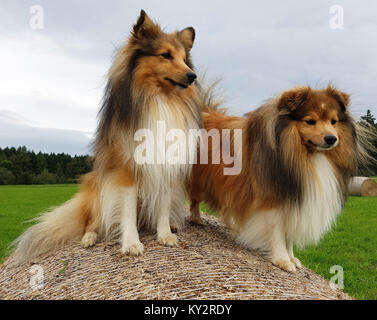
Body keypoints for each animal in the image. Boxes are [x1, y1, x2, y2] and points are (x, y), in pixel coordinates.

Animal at [11, 11, 201, 264]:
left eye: (184, 59)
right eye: (166, 55)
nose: (192, 76)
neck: (159, 99)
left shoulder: (166, 166)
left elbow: (162, 205)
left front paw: (165, 235)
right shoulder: (127, 169)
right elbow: (127, 211)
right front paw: (131, 243)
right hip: (98, 187)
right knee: (92, 220)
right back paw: (90, 237)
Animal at [189, 85, 366, 272]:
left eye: (334, 121)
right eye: (310, 121)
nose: (332, 138)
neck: (303, 154)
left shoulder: (293, 200)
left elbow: (288, 236)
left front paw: (292, 257)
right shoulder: (272, 201)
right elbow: (277, 232)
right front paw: (282, 260)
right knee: (193, 199)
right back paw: (196, 219)